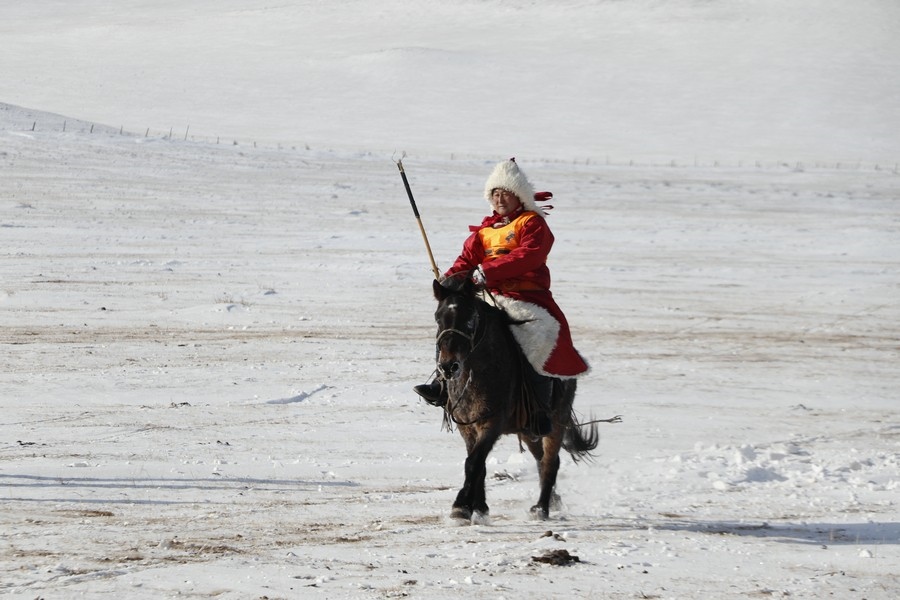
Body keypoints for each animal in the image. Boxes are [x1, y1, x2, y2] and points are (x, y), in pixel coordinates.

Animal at [430, 275, 599, 521]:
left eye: (470, 318)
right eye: (438, 318)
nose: (448, 366)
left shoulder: (492, 422)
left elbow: (474, 462)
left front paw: (461, 506)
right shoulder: (467, 426)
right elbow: (478, 463)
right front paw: (479, 507)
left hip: (558, 420)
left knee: (551, 462)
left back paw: (541, 508)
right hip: (529, 430)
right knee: (540, 459)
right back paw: (553, 500)